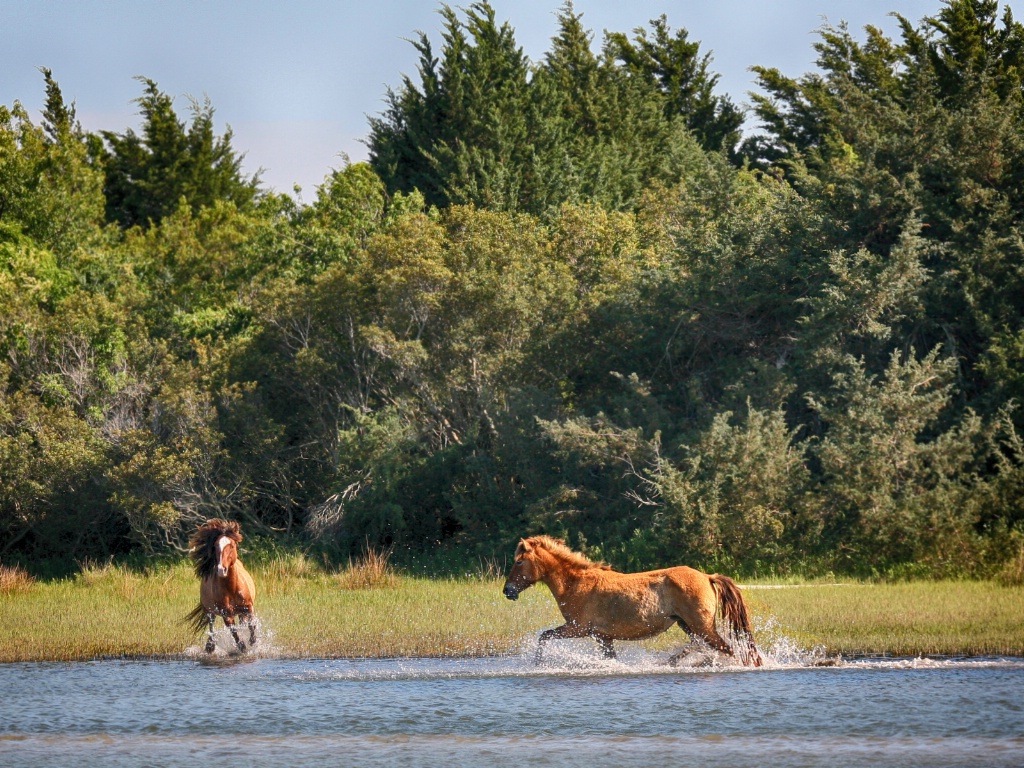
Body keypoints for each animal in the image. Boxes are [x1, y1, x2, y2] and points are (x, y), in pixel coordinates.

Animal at [184, 520, 258, 651]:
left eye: (232, 545)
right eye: (215, 546)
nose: (221, 570)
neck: (232, 588)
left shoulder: (248, 607)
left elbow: (251, 625)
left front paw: (252, 641)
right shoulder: (226, 614)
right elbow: (233, 631)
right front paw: (242, 647)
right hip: (209, 611)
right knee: (211, 625)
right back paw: (210, 646)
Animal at [503, 536, 761, 667]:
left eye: (518, 561)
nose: (507, 591)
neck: (575, 583)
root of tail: (707, 576)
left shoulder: (578, 628)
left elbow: (544, 636)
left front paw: (538, 664)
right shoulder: (602, 637)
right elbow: (611, 659)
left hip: (702, 626)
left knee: (725, 649)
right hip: (687, 624)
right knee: (701, 645)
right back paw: (672, 662)